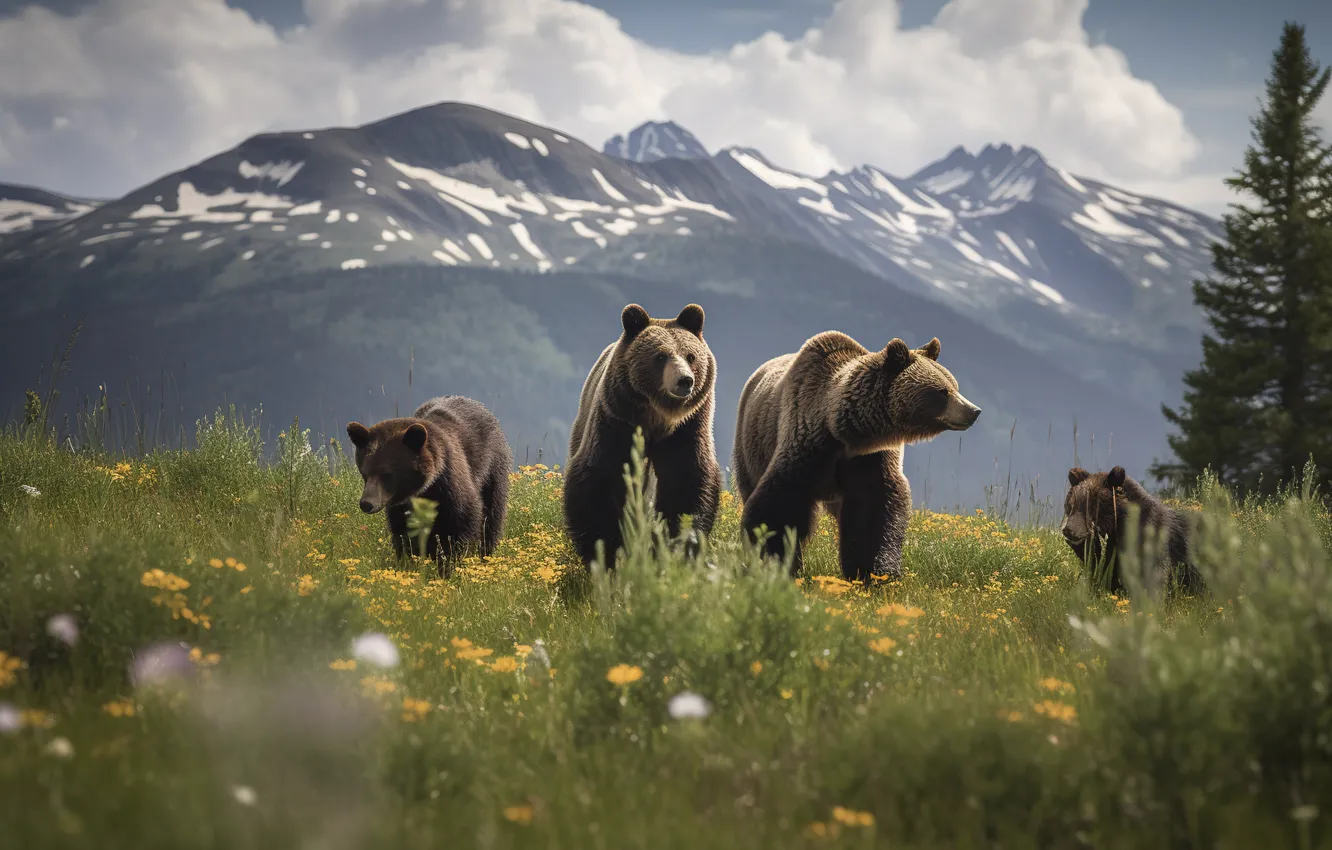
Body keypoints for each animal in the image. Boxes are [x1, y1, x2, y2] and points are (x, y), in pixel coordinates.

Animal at [346, 395, 512, 575]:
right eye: (365, 472)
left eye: (387, 474)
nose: (366, 503)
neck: (425, 489)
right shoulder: (401, 506)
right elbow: (403, 533)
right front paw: (410, 561)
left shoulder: (451, 485)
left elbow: (462, 523)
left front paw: (449, 565)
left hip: (492, 467)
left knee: (492, 514)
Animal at [563, 303, 722, 570]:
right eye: (661, 356)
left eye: (691, 356)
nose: (685, 381)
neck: (657, 420)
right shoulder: (617, 422)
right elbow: (599, 480)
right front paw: (603, 554)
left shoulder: (687, 429)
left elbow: (687, 482)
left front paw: (676, 548)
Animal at [733, 331, 980, 582]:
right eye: (943, 391)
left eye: (954, 385)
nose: (974, 411)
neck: (843, 432)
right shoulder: (806, 443)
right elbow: (779, 504)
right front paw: (772, 561)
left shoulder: (870, 458)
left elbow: (873, 511)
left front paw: (875, 573)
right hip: (750, 444)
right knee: (750, 483)